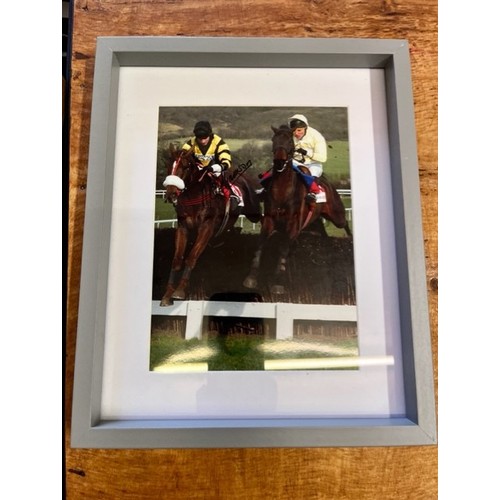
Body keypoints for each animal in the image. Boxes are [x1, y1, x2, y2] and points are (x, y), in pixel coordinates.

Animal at [160, 145, 262, 306]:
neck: (194, 197)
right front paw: (167, 294)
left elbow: (191, 257)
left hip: (253, 211)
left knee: (265, 219)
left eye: (186, 166)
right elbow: (177, 259)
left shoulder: (206, 228)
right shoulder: (183, 227)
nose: (171, 194)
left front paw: (180, 290)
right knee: (232, 232)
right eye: (168, 165)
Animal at [243, 125, 352, 294]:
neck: (283, 191)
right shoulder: (269, 219)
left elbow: (283, 248)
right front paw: (252, 277)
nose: (279, 162)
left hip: (336, 214)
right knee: (322, 232)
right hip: (315, 220)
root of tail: (327, 182)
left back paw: (350, 239)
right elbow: (260, 243)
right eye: (273, 140)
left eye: (289, 141)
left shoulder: (293, 223)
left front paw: (278, 282)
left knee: (344, 223)